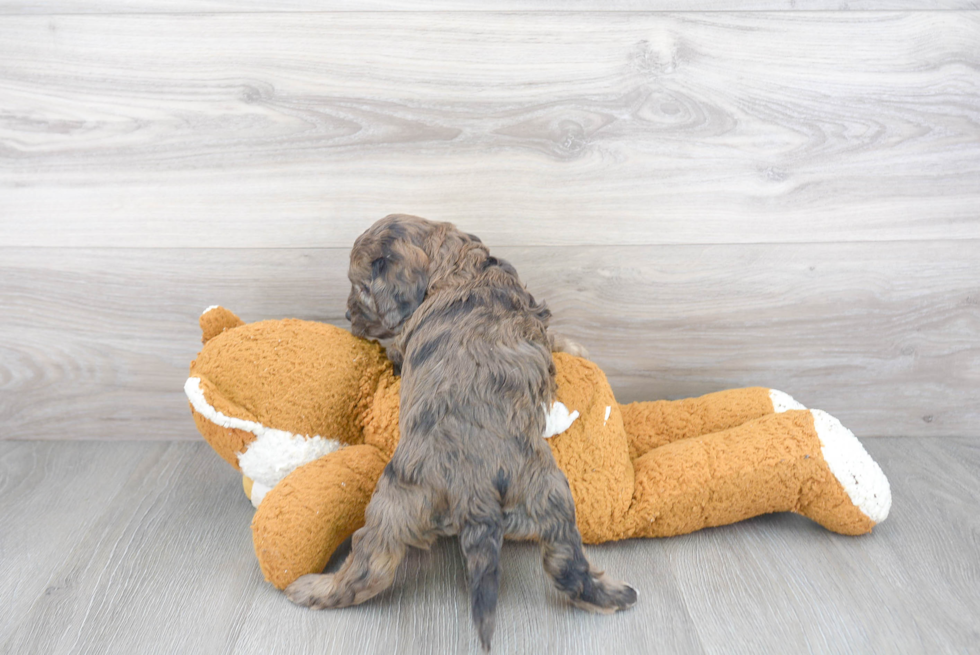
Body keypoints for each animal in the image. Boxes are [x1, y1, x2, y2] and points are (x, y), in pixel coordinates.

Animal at [286, 215, 636, 652]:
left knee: (372, 566)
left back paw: (313, 589)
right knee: (567, 566)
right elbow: (554, 337)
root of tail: (477, 487)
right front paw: (577, 349)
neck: (463, 268)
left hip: (397, 499)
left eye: (362, 288)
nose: (348, 317)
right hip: (551, 495)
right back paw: (616, 594)